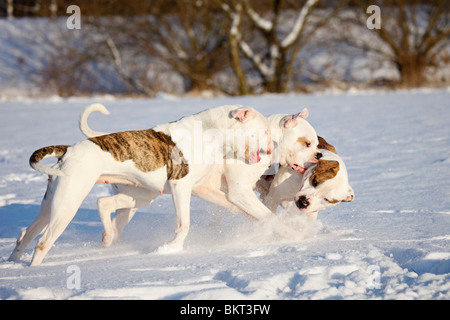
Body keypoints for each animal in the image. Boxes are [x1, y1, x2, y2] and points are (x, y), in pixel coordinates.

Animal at [10, 104, 278, 264]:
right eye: (264, 131)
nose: (271, 149)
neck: (209, 132)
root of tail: (68, 149)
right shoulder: (181, 186)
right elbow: (184, 224)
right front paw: (171, 248)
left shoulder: (202, 188)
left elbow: (232, 205)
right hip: (68, 202)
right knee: (43, 242)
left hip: (74, 201)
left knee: (31, 232)